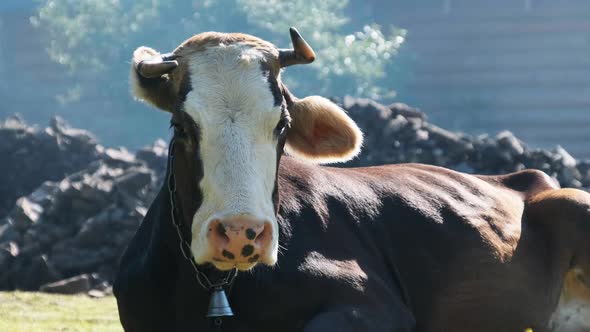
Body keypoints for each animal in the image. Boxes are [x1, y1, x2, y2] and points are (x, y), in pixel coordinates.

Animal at [114, 29, 590, 332]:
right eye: (181, 126)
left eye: (282, 125)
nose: (239, 232)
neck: (214, 290)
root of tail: (531, 179)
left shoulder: (376, 307)